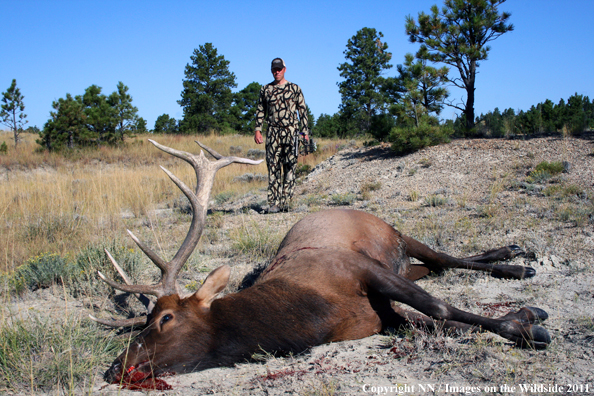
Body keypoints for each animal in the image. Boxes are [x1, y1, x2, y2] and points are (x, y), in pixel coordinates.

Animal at [90, 141, 548, 388]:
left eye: (165, 318)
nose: (114, 367)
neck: (313, 314)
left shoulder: (362, 269)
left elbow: (439, 307)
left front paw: (526, 322)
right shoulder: (381, 316)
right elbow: (437, 323)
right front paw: (520, 319)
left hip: (395, 233)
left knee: (443, 257)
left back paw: (517, 262)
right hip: (402, 263)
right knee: (440, 267)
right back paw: (513, 254)